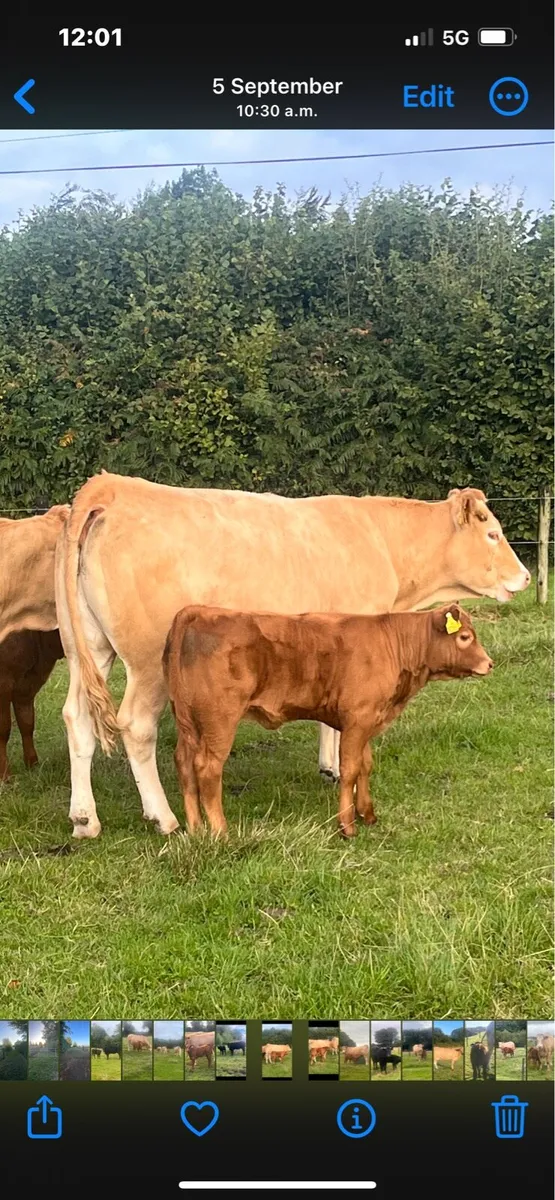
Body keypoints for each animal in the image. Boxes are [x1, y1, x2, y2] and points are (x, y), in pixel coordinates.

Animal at [0, 630, 65, 782]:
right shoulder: (3, 684)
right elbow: (3, 730)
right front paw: (5, 776)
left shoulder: (26, 687)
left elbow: (27, 724)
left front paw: (33, 765)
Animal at [163, 603, 492, 838]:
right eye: (465, 637)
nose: (489, 663)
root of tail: (198, 611)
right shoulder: (358, 719)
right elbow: (349, 770)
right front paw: (347, 826)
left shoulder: (366, 720)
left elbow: (365, 765)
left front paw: (367, 814)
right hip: (219, 722)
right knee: (208, 769)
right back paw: (220, 833)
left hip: (188, 722)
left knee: (184, 763)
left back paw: (196, 830)